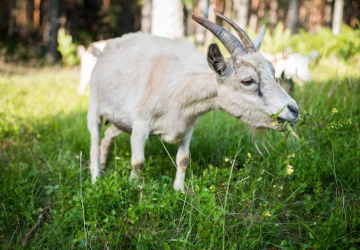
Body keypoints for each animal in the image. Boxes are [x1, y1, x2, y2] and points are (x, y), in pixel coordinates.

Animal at [88, 9, 300, 192]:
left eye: (273, 72)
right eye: (247, 80)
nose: (294, 110)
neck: (179, 86)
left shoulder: (187, 127)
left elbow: (183, 160)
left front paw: (179, 191)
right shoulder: (140, 125)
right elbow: (138, 163)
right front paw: (134, 190)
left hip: (120, 120)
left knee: (108, 135)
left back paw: (103, 165)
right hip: (94, 106)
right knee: (95, 141)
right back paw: (96, 178)